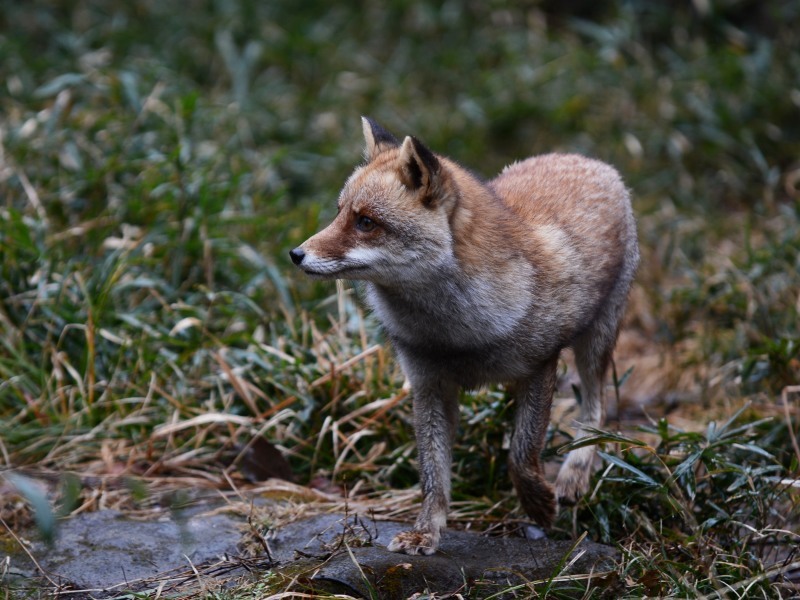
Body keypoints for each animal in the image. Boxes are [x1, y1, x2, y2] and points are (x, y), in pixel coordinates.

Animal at [290, 118, 640, 556]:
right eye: (339, 214)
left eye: (366, 222)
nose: (295, 254)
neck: (453, 334)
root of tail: (585, 159)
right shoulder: (428, 384)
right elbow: (433, 475)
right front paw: (425, 531)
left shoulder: (541, 365)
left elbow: (521, 453)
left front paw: (539, 505)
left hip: (596, 341)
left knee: (596, 408)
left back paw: (574, 474)